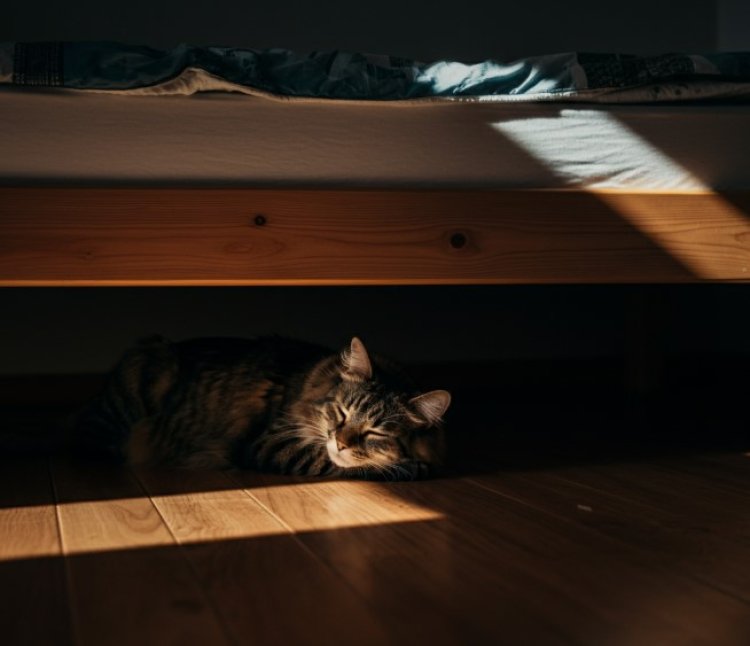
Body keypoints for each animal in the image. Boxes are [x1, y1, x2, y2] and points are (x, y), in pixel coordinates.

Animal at [75, 334, 452, 480]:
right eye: (342, 412)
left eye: (374, 432)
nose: (340, 442)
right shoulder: (270, 440)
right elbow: (336, 463)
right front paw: (412, 468)